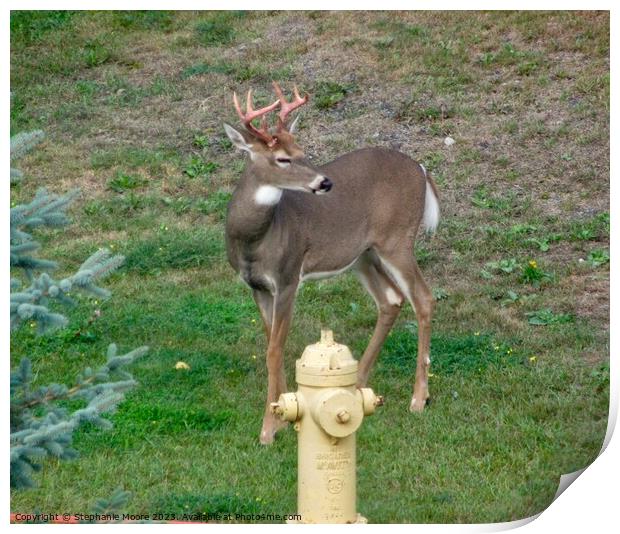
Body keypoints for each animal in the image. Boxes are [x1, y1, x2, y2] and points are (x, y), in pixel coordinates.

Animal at [223, 81, 440, 446]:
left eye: (302, 150)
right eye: (283, 158)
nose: (324, 182)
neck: (255, 240)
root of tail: (422, 170)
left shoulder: (288, 276)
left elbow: (274, 349)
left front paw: (268, 428)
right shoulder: (256, 286)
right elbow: (271, 343)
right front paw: (284, 413)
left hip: (397, 239)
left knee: (422, 298)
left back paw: (418, 398)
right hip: (363, 255)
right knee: (391, 299)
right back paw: (357, 387)